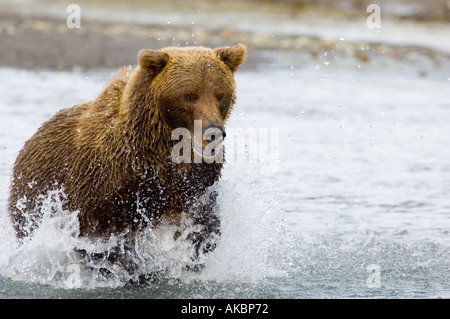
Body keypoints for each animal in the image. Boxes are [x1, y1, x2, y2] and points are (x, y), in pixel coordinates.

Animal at [7, 43, 246, 272]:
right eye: (189, 95)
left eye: (220, 94)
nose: (213, 132)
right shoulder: (106, 183)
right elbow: (96, 235)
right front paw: (130, 266)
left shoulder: (196, 181)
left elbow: (203, 220)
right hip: (32, 198)